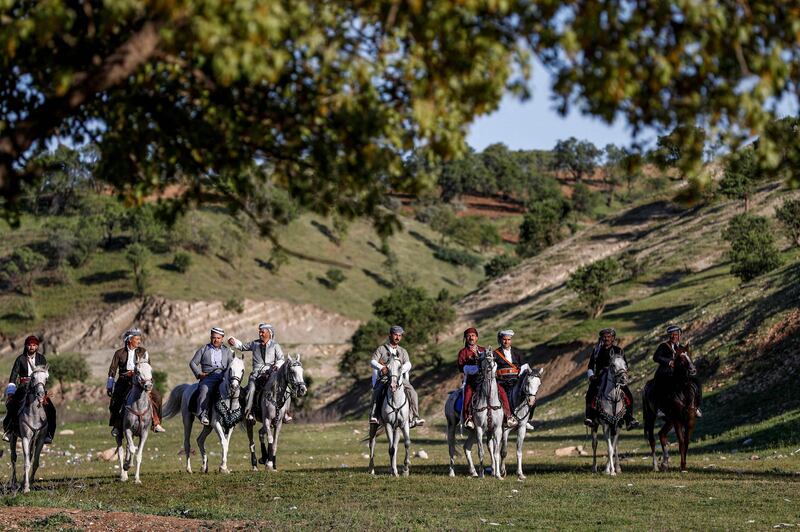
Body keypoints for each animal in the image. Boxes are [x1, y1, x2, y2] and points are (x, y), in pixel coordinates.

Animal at [9, 364, 48, 492]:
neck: (35, 414)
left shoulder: (40, 440)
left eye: (46, 378)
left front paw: (29, 483)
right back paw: (14, 483)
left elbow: (35, 462)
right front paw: (26, 488)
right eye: (33, 377)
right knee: (13, 458)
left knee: (29, 457)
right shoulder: (25, 438)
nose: (40, 394)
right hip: (13, 437)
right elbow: (26, 463)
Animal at [446, 352, 504, 480]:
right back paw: (452, 472)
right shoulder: (479, 429)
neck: (488, 400)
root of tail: (451, 395)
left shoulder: (497, 429)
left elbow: (496, 452)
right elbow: (481, 452)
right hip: (452, 425)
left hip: (472, 431)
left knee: (466, 447)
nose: (490, 365)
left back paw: (473, 471)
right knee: (451, 448)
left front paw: (498, 475)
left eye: (493, 358)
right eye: (482, 359)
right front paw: (482, 474)